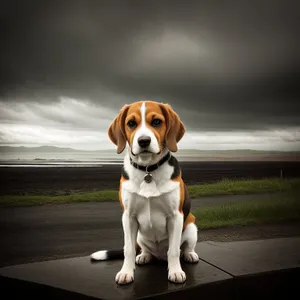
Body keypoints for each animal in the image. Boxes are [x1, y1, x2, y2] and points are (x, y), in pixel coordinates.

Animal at [91, 100, 199, 284]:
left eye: (156, 122)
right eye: (131, 123)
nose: (143, 141)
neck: (148, 169)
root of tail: (159, 256)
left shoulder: (176, 216)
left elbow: (174, 250)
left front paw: (175, 271)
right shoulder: (128, 217)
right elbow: (128, 249)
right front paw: (126, 272)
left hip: (191, 224)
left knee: (183, 248)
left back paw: (189, 254)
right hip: (140, 236)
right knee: (143, 249)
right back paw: (144, 256)